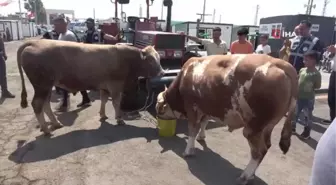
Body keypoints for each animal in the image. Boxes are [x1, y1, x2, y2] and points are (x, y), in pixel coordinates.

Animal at [17, 39, 164, 134]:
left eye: (159, 58)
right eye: (151, 60)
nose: (162, 72)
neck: (127, 59)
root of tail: (36, 42)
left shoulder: (105, 86)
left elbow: (104, 100)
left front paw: (103, 115)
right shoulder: (115, 86)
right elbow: (116, 103)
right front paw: (119, 119)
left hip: (47, 87)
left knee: (45, 104)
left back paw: (55, 123)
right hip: (42, 86)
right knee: (37, 104)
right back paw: (46, 129)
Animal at [156, 54, 298, 184]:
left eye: (159, 108)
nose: (157, 117)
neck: (187, 73)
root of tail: (282, 64)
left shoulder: (192, 107)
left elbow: (192, 129)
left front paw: (188, 151)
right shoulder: (207, 106)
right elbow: (204, 122)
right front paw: (201, 137)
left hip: (253, 128)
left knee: (259, 151)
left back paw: (245, 175)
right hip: (268, 126)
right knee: (266, 147)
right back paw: (251, 174)